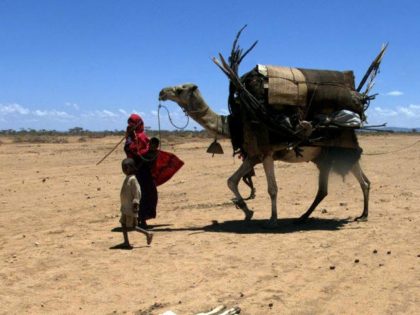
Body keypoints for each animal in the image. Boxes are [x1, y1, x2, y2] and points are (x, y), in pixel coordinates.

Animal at [158, 82, 370, 226]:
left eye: (180, 89)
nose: (161, 92)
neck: (236, 125)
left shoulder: (267, 154)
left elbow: (272, 188)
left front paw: (273, 219)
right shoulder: (253, 156)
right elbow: (231, 181)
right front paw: (246, 211)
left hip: (342, 153)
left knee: (357, 183)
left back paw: (359, 215)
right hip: (326, 157)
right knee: (343, 186)